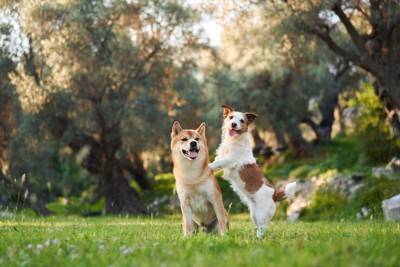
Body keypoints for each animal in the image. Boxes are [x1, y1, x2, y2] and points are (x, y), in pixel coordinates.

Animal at [208, 105, 296, 239]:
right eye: (231, 117)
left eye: (242, 121)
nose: (233, 124)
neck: (234, 141)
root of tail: (275, 194)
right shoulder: (221, 157)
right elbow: (217, 163)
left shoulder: (231, 160)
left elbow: (217, 164)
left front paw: (208, 166)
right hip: (254, 213)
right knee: (259, 227)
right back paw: (255, 237)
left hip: (261, 214)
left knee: (264, 227)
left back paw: (258, 239)